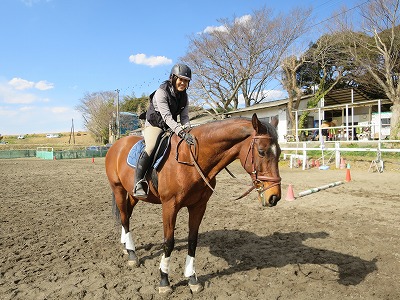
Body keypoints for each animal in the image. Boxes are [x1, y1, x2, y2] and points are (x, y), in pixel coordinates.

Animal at [104, 113, 282, 294]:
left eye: (280, 152)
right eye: (261, 152)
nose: (274, 197)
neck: (191, 160)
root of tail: (116, 145)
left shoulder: (198, 206)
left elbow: (192, 241)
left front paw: (192, 279)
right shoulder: (169, 206)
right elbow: (168, 242)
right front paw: (164, 281)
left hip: (134, 194)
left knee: (127, 215)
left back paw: (126, 246)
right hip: (118, 189)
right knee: (124, 217)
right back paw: (132, 255)